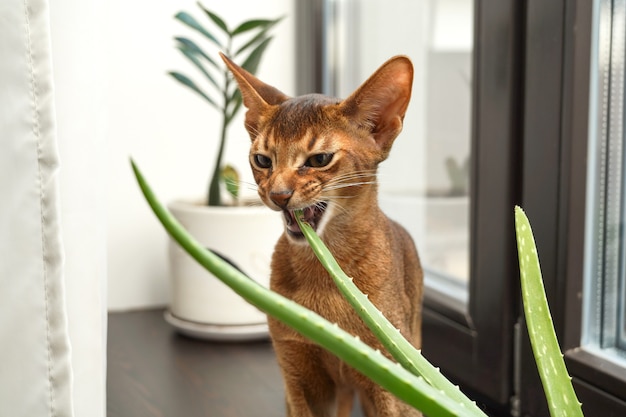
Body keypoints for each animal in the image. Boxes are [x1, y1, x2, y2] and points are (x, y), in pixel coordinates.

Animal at [221, 52, 424, 416]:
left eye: (319, 159)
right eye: (262, 160)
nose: (278, 194)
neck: (326, 273)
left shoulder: (390, 384)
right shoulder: (299, 376)